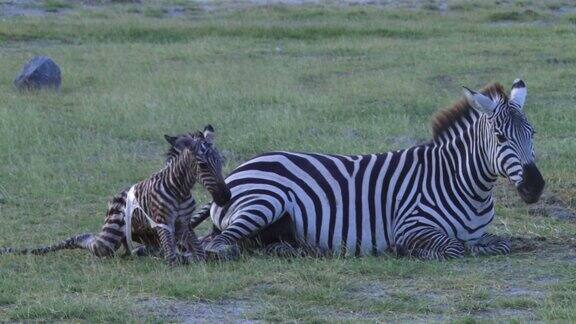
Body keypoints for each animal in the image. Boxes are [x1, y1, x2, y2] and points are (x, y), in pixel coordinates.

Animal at [3, 125, 232, 264]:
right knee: (89, 239)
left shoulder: (183, 225)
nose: (225, 198)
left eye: (221, 160)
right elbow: (175, 258)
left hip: (142, 238)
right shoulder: (163, 224)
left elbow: (199, 255)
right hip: (108, 239)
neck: (179, 189)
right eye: (202, 165)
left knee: (133, 248)